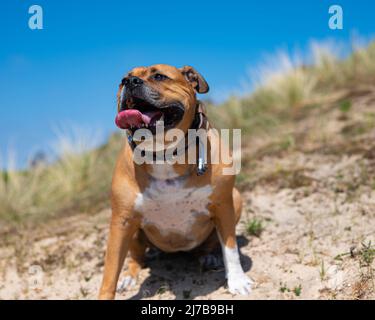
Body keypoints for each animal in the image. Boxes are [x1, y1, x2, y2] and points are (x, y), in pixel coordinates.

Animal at [100, 63, 253, 298]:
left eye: (159, 76)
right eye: (122, 80)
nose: (130, 82)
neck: (164, 153)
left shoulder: (224, 205)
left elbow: (230, 249)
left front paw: (237, 281)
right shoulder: (121, 220)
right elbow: (110, 272)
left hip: (236, 199)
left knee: (208, 245)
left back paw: (208, 257)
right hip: (131, 231)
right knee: (136, 257)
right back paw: (130, 275)